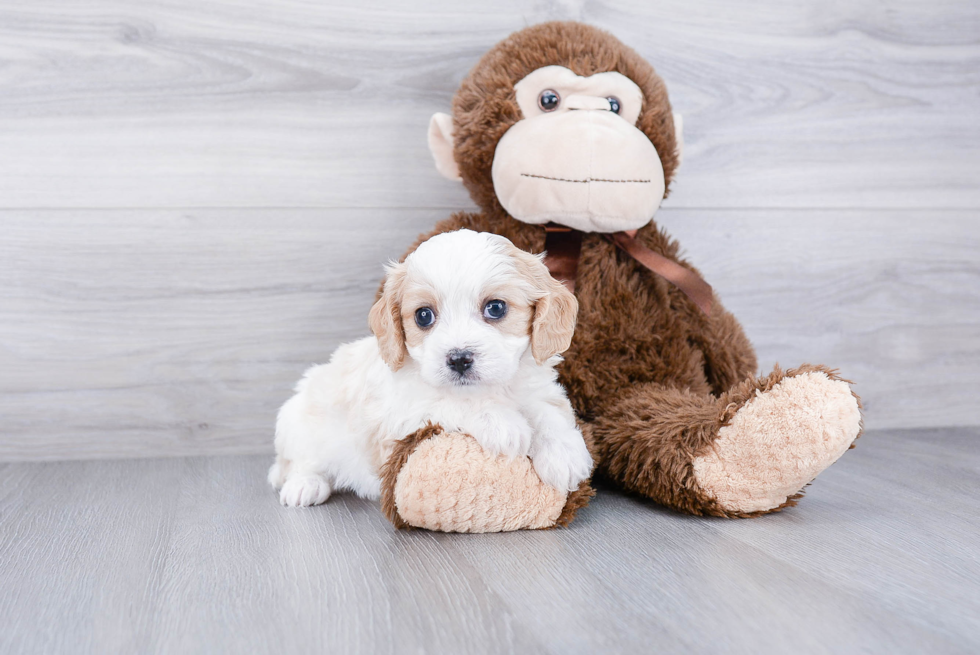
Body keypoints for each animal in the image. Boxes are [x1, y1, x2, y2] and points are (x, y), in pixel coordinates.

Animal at [266, 229, 588, 508]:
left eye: (496, 308)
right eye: (423, 316)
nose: (459, 359)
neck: (489, 389)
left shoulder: (536, 388)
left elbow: (547, 412)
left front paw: (564, 453)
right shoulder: (399, 414)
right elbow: (449, 401)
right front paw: (501, 422)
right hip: (299, 423)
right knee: (301, 462)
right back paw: (305, 485)